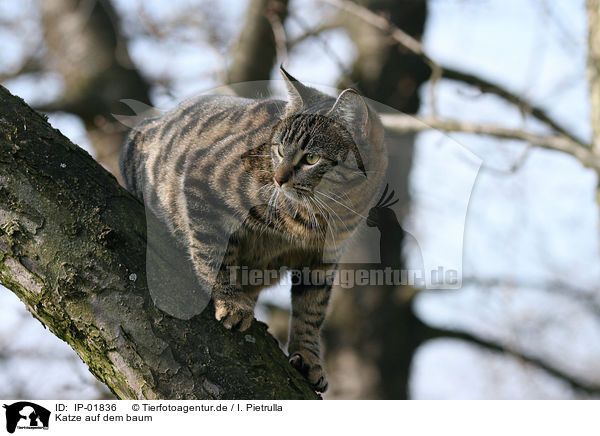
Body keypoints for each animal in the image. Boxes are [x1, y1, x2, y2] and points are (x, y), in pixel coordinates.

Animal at [119, 67, 386, 392]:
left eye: (311, 158)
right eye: (280, 150)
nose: (278, 179)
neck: (327, 214)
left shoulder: (323, 261)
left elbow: (311, 311)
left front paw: (308, 356)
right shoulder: (199, 181)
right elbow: (215, 257)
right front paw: (232, 302)